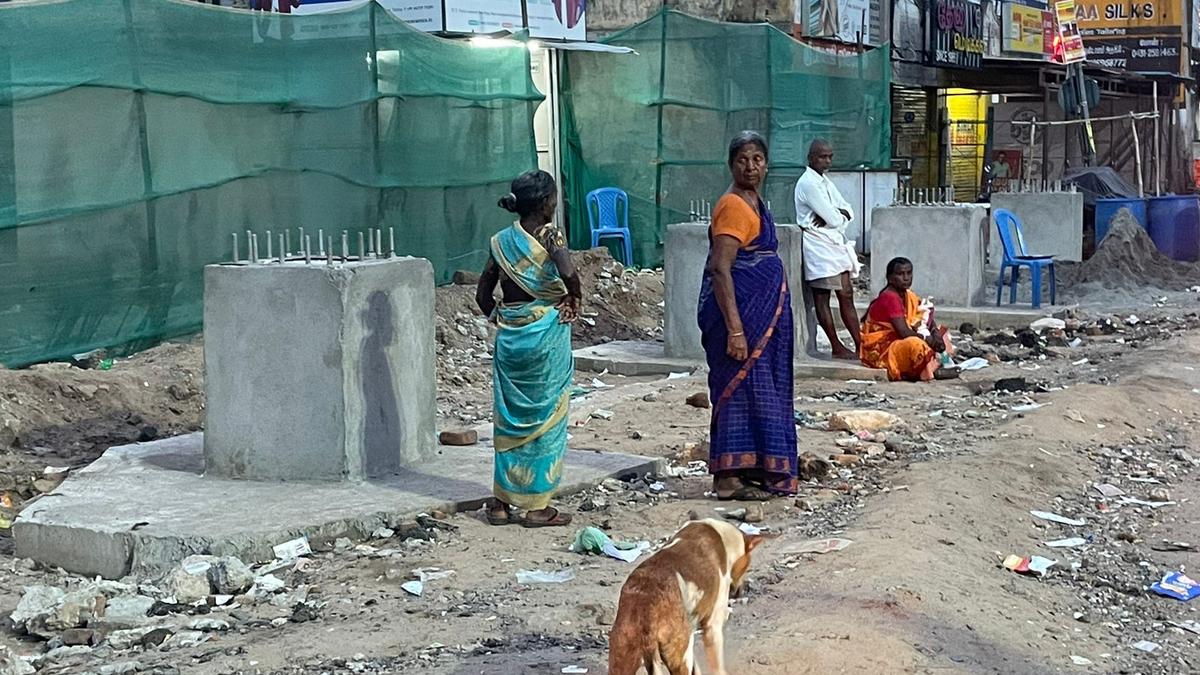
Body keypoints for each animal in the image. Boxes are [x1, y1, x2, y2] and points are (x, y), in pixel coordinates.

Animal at [609, 511, 768, 667]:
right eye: (747, 566)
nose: (739, 593)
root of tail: (646, 610)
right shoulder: (712, 627)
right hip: (679, 654)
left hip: (622, 654)